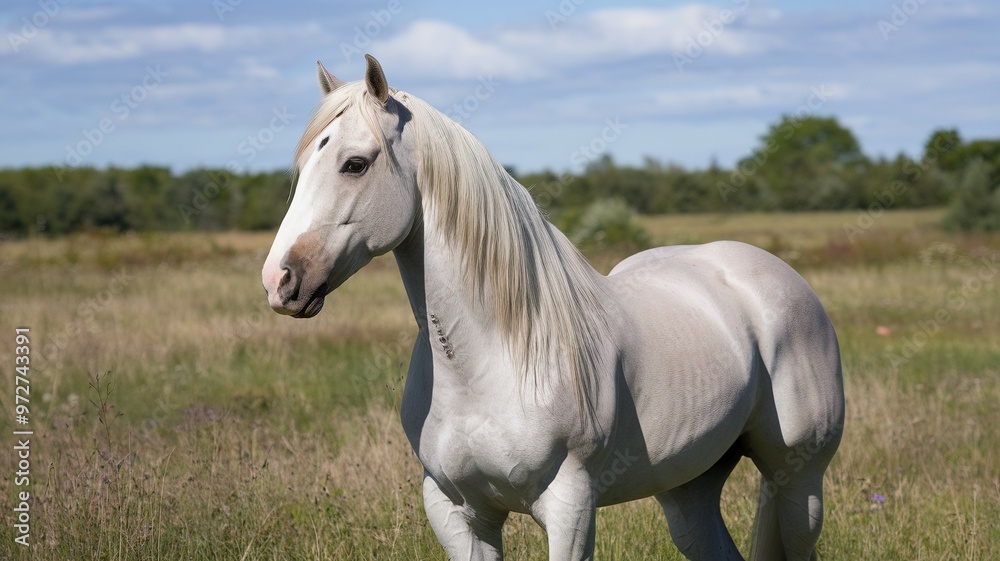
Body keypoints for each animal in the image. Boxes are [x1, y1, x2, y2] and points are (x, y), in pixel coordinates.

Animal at [262, 54, 844, 561]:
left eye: (355, 164)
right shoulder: (457, 512)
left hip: (798, 482)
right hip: (689, 486)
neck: (488, 359)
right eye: (304, 164)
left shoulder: (570, 508)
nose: (279, 281)